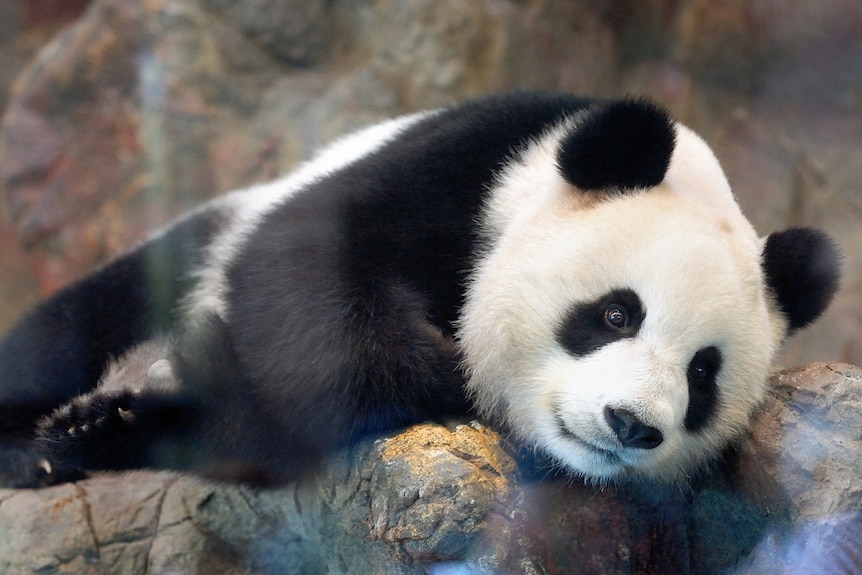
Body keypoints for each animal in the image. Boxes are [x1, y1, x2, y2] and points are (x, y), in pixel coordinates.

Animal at [0, 92, 844, 488]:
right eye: (614, 313)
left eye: (703, 374)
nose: (633, 424)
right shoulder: (472, 162)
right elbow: (303, 273)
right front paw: (449, 374)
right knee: (72, 327)